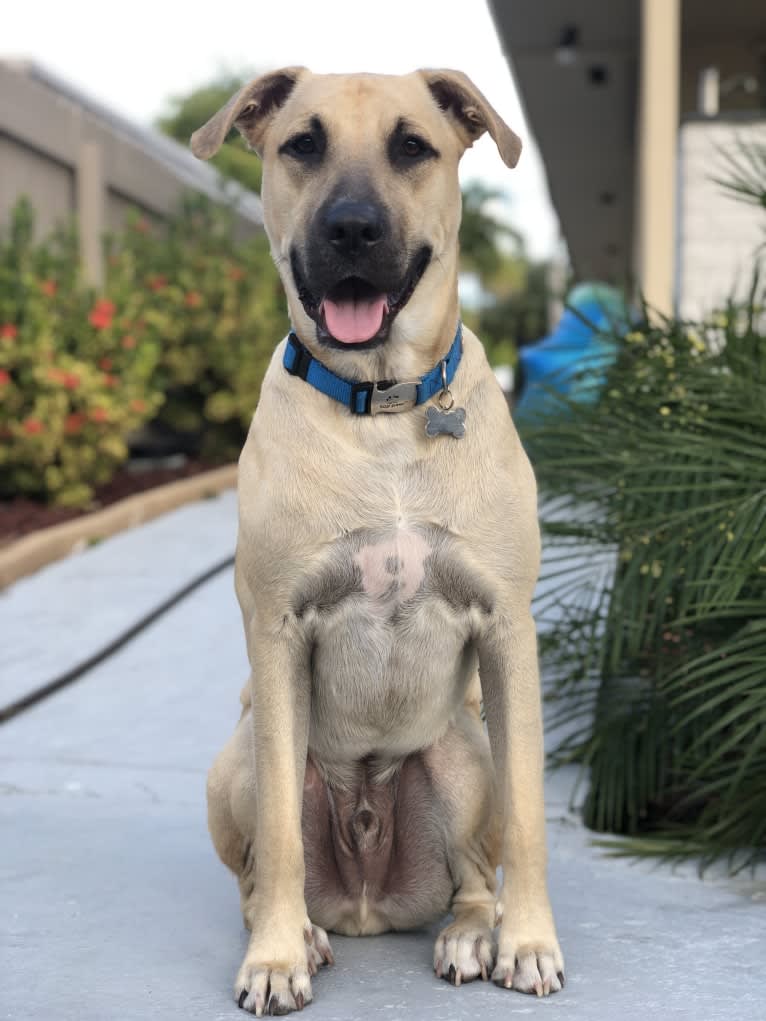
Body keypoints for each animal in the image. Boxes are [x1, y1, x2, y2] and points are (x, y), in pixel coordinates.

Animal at [192, 67, 563, 1016]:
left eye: (412, 147)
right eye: (302, 144)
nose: (352, 228)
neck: (382, 407)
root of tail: (366, 899)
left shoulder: (508, 631)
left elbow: (530, 818)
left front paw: (529, 941)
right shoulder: (279, 634)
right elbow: (281, 839)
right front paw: (275, 956)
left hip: (462, 754)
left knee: (471, 877)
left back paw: (472, 933)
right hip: (238, 752)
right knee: (256, 873)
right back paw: (301, 932)